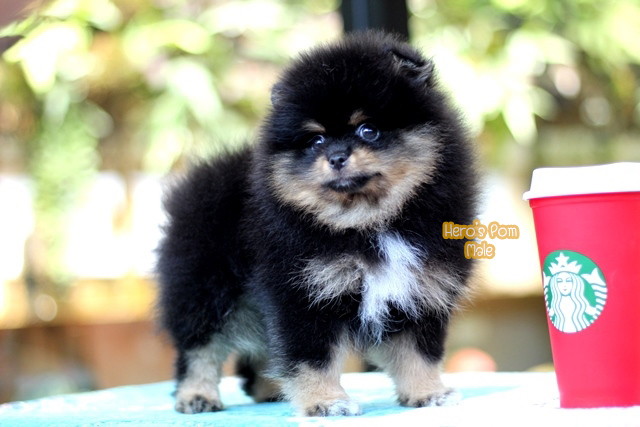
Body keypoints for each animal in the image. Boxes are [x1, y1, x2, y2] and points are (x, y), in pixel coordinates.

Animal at [156, 31, 477, 416]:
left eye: (368, 130)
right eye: (316, 139)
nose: (336, 157)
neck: (369, 222)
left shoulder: (420, 292)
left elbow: (420, 354)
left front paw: (428, 393)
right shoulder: (303, 293)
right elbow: (313, 358)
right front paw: (325, 402)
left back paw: (270, 390)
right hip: (204, 289)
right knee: (198, 348)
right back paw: (197, 395)